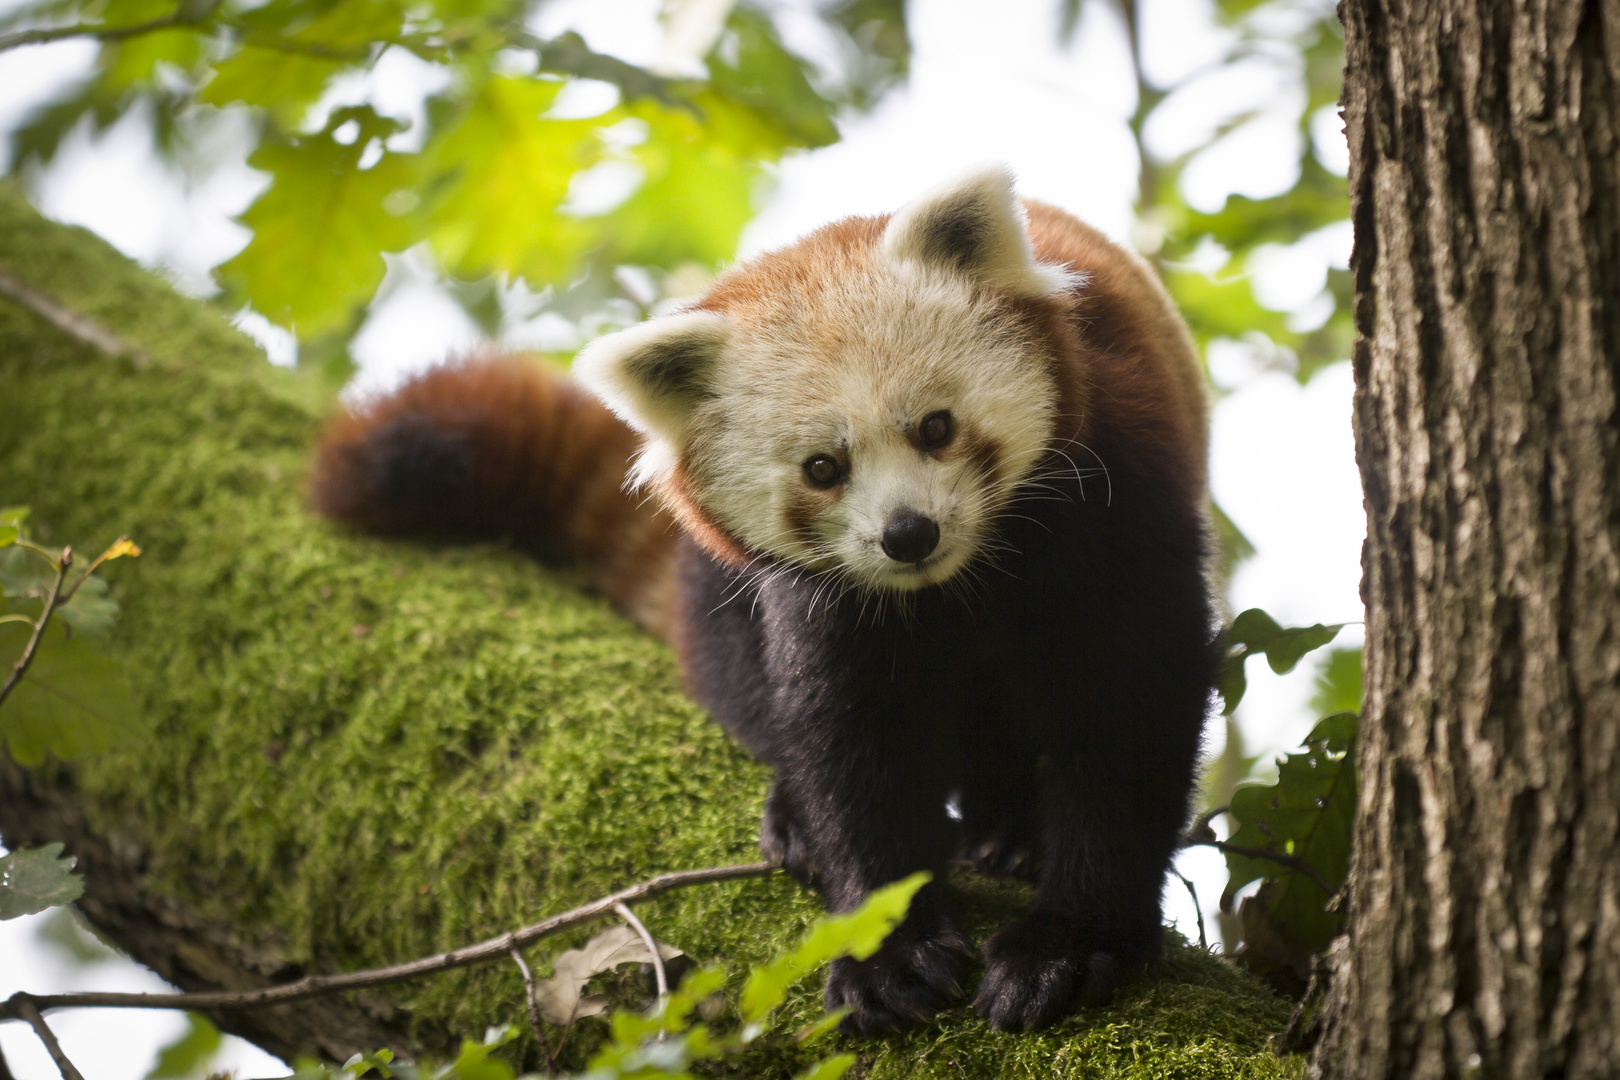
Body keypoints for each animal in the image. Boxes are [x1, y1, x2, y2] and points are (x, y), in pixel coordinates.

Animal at [309, 166, 1211, 1029]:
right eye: (822, 468)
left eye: (936, 427)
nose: (908, 534)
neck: (955, 584)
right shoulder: (827, 600)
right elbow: (852, 742)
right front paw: (886, 944)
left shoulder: (1114, 503)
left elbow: (1129, 718)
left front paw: (1070, 943)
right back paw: (799, 815)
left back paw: (1011, 827)